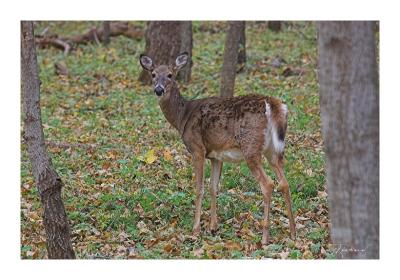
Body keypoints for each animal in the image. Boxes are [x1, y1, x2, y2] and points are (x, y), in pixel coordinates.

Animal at [139, 51, 296, 244]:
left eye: (170, 75)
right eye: (153, 74)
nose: (158, 89)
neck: (182, 117)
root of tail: (272, 104)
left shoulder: (197, 149)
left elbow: (199, 188)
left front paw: (196, 230)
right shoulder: (216, 155)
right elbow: (214, 187)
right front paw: (213, 227)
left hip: (251, 147)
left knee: (268, 184)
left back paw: (265, 238)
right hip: (273, 151)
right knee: (284, 183)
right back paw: (293, 233)